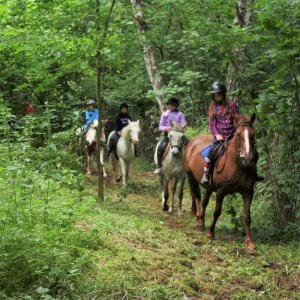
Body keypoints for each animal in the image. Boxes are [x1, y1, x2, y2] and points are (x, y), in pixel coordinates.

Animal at [185, 113, 258, 250]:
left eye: (253, 134)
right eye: (238, 134)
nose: (247, 158)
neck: (238, 165)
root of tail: (192, 142)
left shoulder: (248, 192)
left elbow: (247, 217)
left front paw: (250, 242)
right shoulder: (221, 191)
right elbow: (217, 212)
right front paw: (210, 234)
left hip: (208, 186)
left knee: (204, 201)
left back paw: (202, 221)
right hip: (190, 175)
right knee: (195, 195)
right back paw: (199, 222)